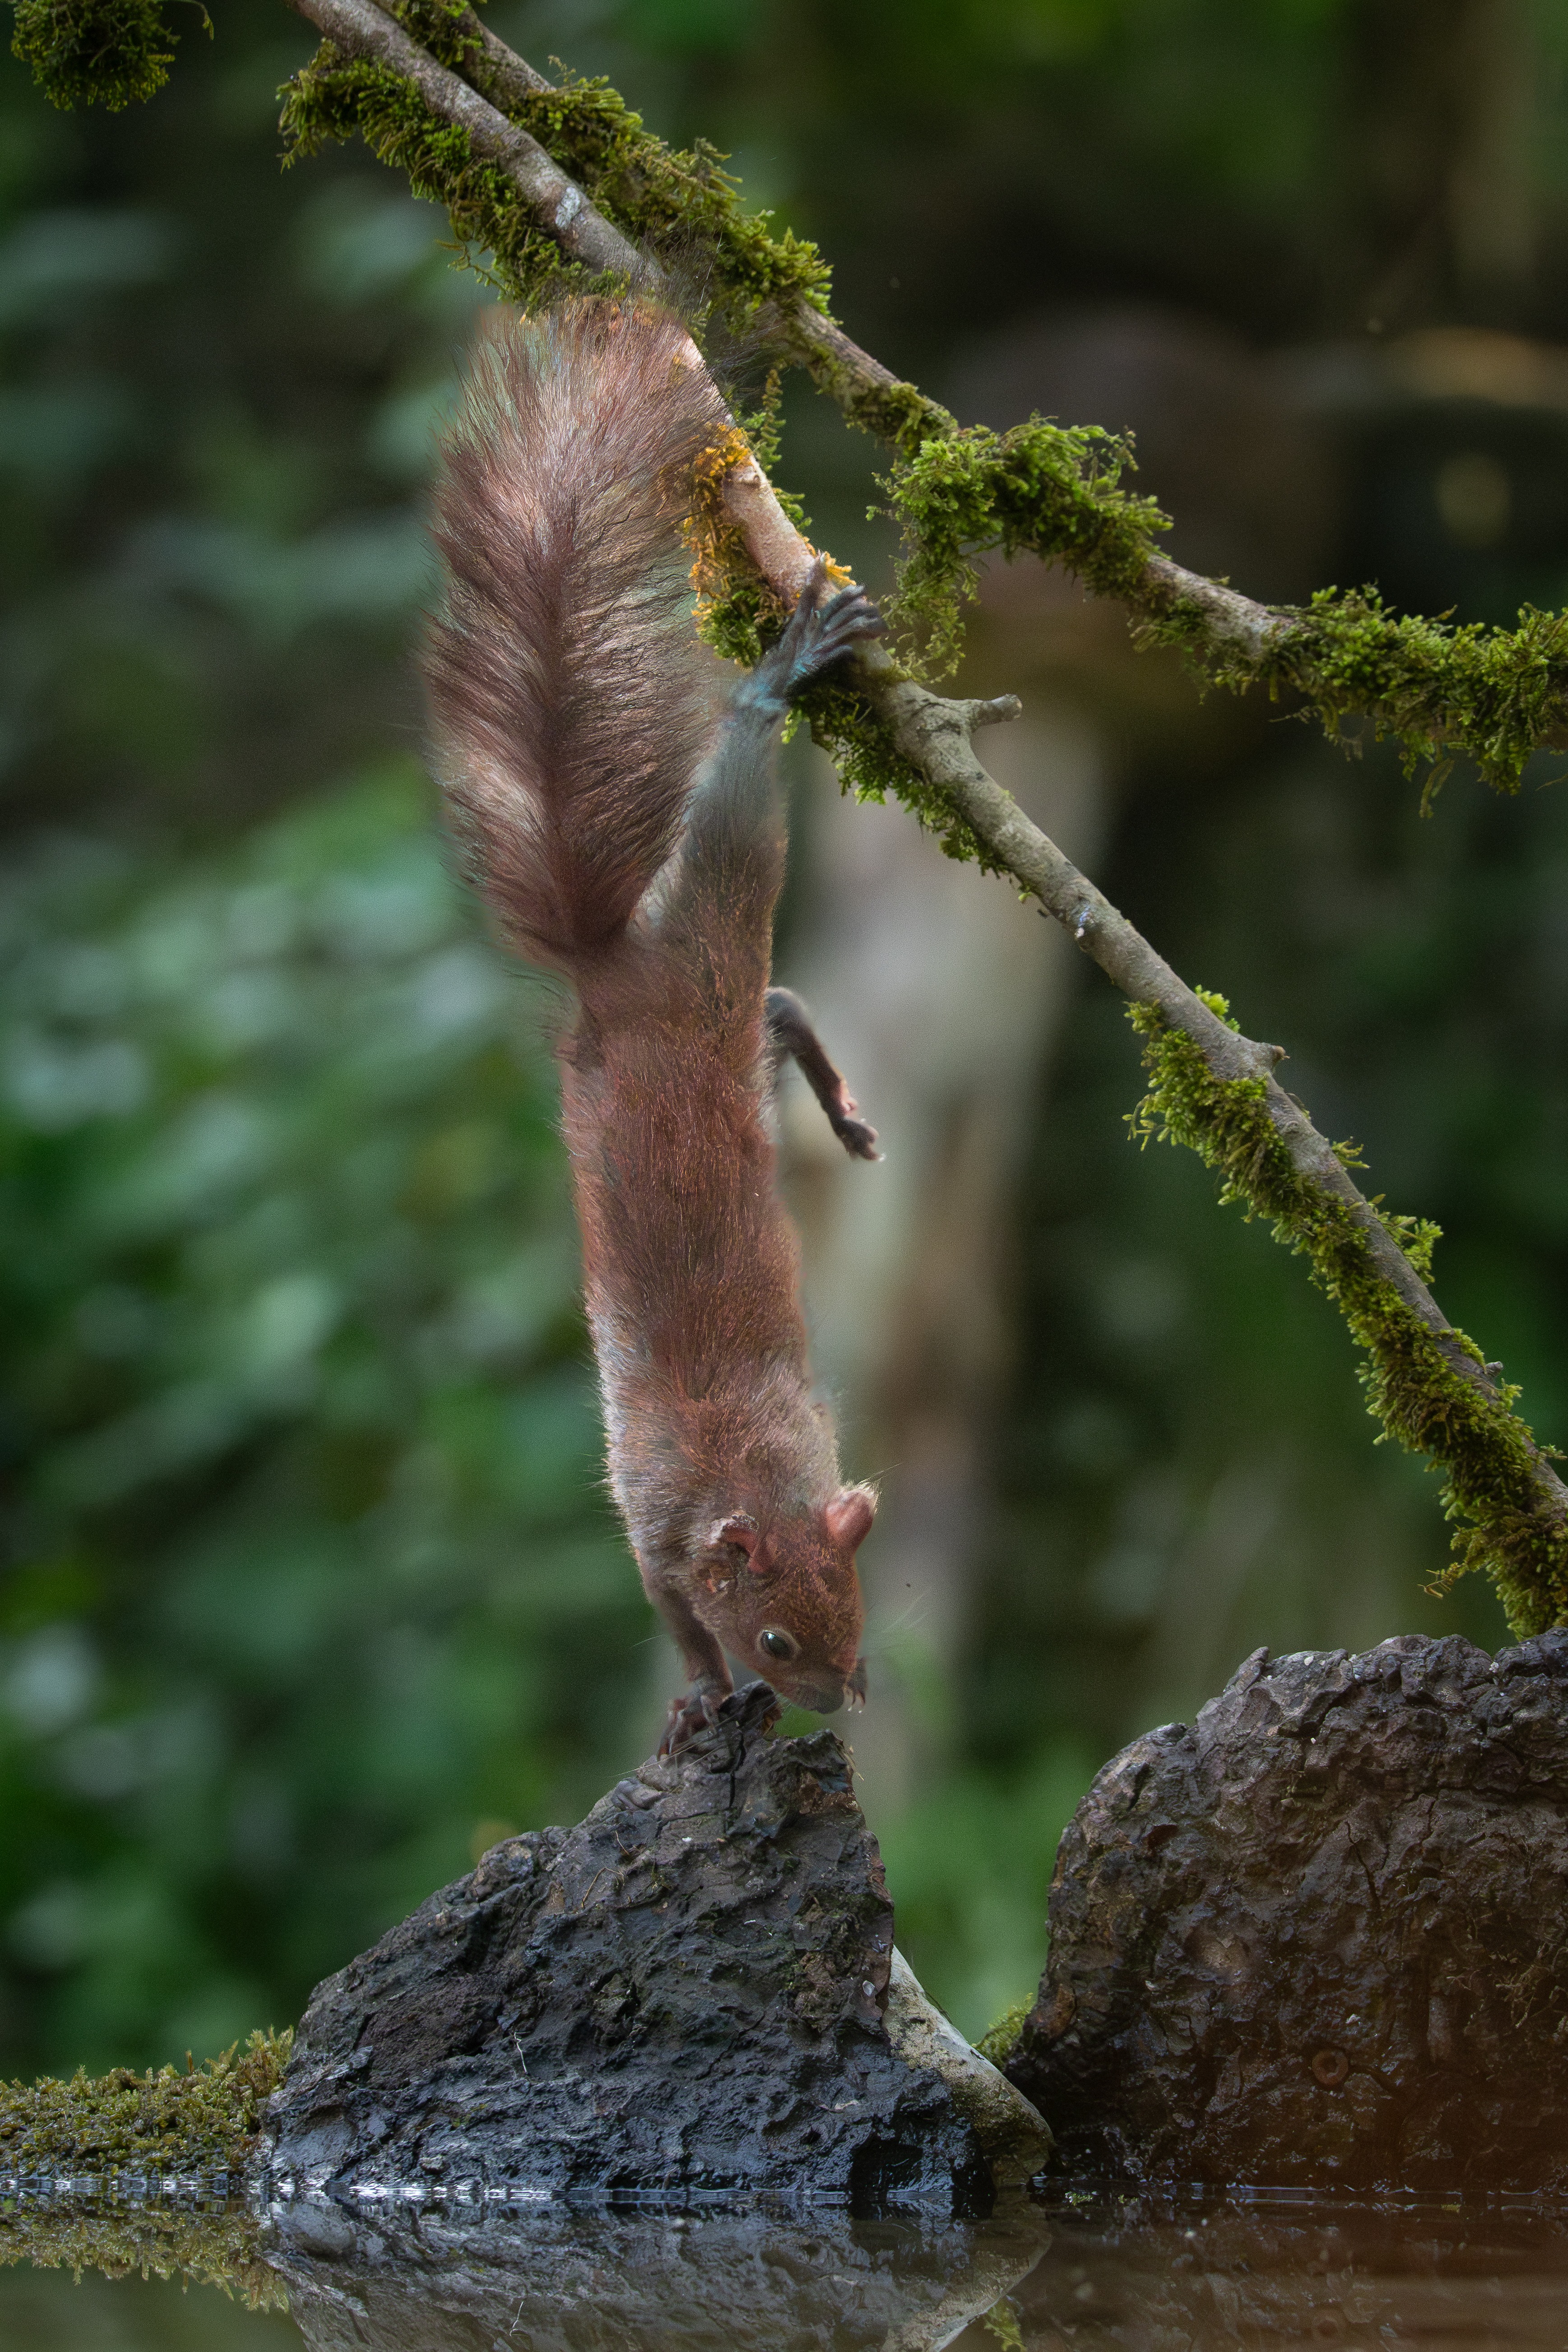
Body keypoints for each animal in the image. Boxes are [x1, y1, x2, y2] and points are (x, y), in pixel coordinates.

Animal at [424, 300, 886, 1750]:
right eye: (779, 1635)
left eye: (862, 1609)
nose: (843, 1704)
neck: (751, 1468)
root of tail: (609, 968)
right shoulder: (655, 1536)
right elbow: (676, 1626)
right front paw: (700, 1702)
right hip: (717, 941)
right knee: (758, 916)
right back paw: (775, 684)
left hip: (714, 965)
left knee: (777, 993)